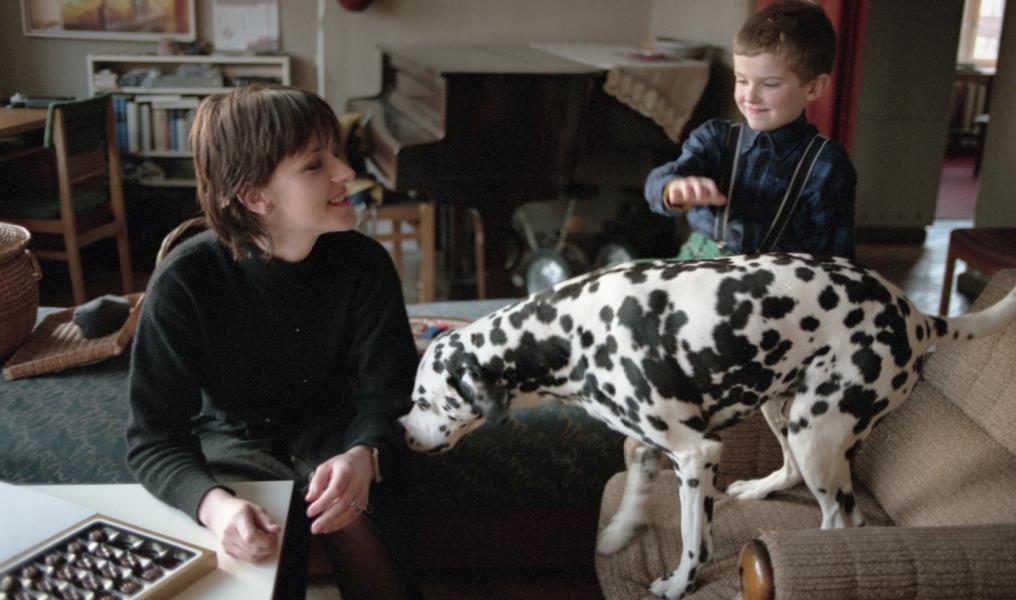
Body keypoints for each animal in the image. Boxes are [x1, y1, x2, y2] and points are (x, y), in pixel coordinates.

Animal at [399, 253, 1016, 599]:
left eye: (425, 400)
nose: (402, 432)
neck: (570, 330)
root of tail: (918, 315)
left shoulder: (696, 454)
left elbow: (693, 537)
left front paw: (679, 582)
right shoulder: (652, 444)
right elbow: (641, 482)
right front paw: (621, 531)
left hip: (816, 431)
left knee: (843, 520)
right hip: (785, 410)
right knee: (801, 480)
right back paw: (760, 489)